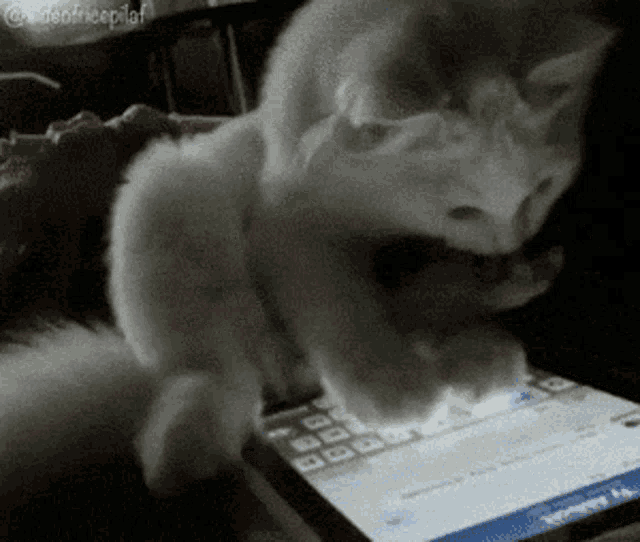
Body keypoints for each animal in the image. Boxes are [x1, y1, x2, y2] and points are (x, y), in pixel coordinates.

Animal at [107, 0, 616, 496]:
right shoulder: (289, 231)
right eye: (462, 210)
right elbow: (342, 313)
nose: (514, 239)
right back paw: (185, 448)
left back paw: (483, 350)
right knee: (216, 370)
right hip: (170, 198)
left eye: (541, 188)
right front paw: (392, 390)